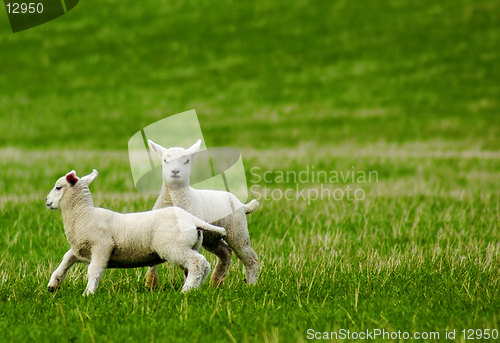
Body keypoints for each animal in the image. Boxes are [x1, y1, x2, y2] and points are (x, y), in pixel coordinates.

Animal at [46, 169, 226, 296]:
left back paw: (186, 291)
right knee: (202, 266)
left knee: (198, 263)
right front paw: (53, 284)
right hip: (191, 245)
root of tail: (192, 219)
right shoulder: (80, 249)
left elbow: (94, 270)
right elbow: (65, 260)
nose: (46, 201)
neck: (82, 215)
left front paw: (88, 293)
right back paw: (195, 288)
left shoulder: (102, 246)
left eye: (58, 187)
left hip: (173, 246)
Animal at [145, 140, 260, 288]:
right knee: (226, 252)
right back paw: (216, 282)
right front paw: (150, 285)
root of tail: (241, 203)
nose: (175, 171)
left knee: (250, 257)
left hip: (237, 229)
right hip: (212, 237)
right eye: (165, 160)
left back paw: (251, 285)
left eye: (187, 161)